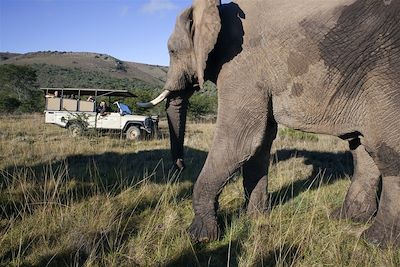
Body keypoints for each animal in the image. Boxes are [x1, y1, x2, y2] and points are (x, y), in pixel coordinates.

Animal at [138, 0, 400, 247]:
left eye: (172, 51)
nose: (180, 166)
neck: (217, 10)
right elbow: (261, 140)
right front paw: (255, 218)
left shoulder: (241, 65)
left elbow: (241, 140)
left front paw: (199, 237)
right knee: (362, 149)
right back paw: (347, 218)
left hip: (385, 73)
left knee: (386, 152)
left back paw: (375, 241)